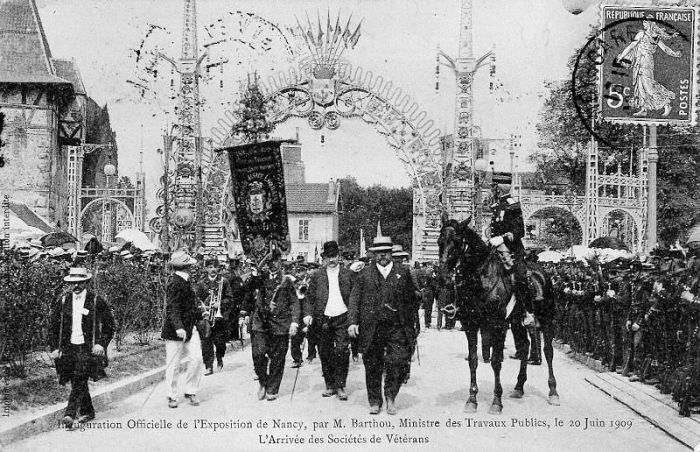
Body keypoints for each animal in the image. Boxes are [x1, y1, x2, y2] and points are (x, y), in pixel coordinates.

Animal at [440, 215, 560, 414]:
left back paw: (553, 392)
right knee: (524, 346)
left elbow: (496, 361)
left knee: (548, 352)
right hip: (517, 323)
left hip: (546, 318)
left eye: (457, 242)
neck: (482, 279)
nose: (444, 276)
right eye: (439, 241)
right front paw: (472, 399)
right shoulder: (471, 325)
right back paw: (519, 387)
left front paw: (496, 401)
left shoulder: (498, 325)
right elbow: (473, 360)